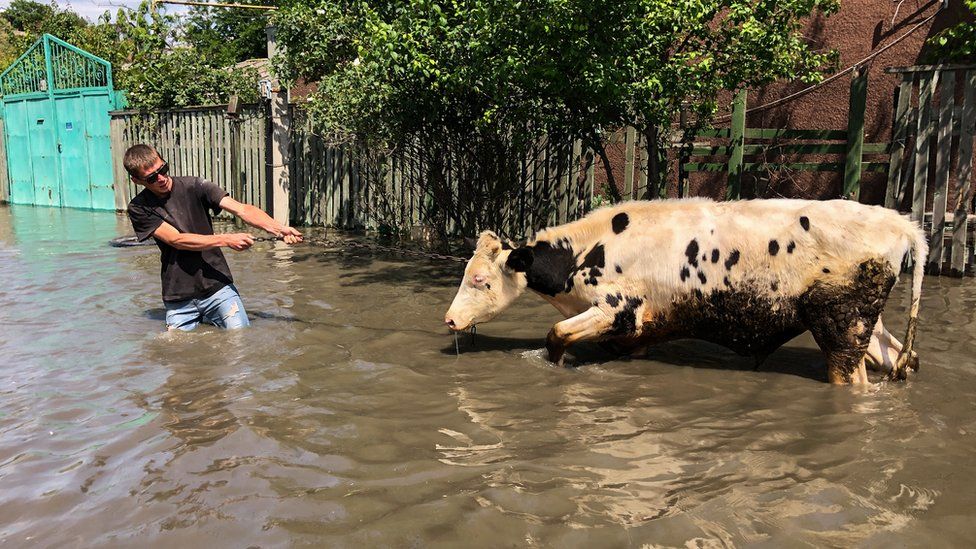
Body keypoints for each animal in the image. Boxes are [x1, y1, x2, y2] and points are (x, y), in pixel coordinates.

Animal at [446, 199, 928, 384]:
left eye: (480, 280)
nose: (450, 319)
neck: (588, 250)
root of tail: (900, 222)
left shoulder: (619, 309)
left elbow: (556, 336)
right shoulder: (637, 332)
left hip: (842, 328)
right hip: (867, 326)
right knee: (900, 358)